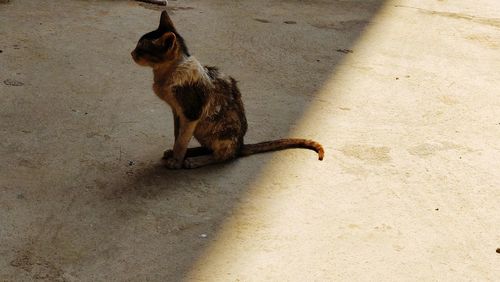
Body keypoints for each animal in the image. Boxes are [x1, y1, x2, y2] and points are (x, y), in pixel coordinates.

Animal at [131, 11, 324, 169]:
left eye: (141, 50)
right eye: (137, 47)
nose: (131, 53)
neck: (163, 75)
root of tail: (241, 145)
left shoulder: (191, 113)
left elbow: (181, 141)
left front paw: (176, 161)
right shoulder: (177, 112)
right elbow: (178, 136)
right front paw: (175, 153)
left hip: (217, 130)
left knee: (225, 156)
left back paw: (194, 161)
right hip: (203, 129)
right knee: (210, 148)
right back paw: (188, 153)